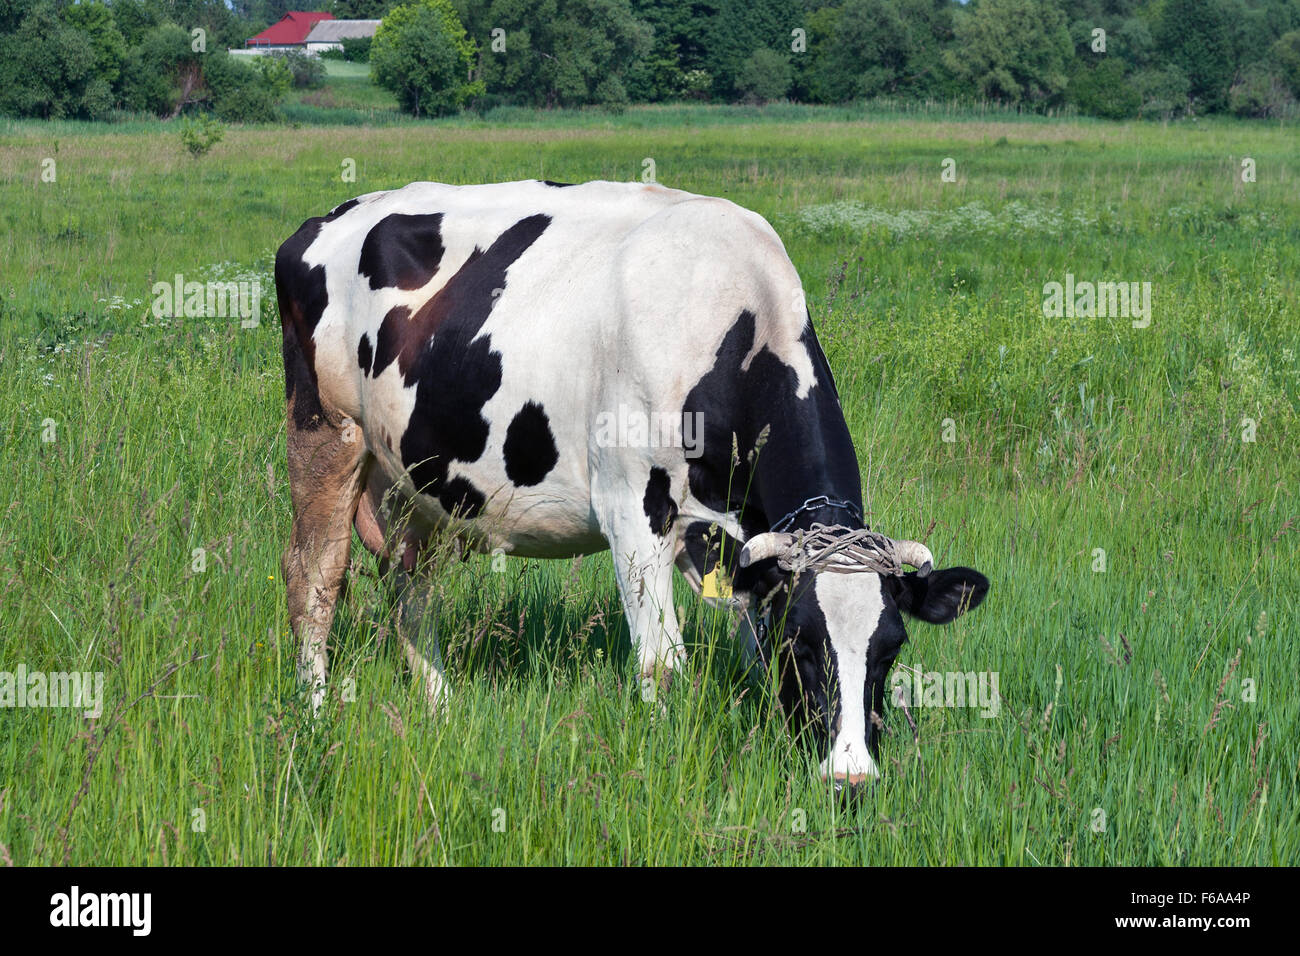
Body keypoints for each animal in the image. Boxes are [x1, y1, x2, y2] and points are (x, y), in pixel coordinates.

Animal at [276, 179, 989, 788]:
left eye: (889, 650)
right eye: (805, 646)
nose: (851, 776)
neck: (733, 319)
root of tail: (326, 219)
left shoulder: (741, 536)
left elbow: (749, 646)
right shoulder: (631, 509)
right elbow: (661, 661)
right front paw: (664, 760)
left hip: (420, 482)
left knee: (412, 585)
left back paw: (440, 707)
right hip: (327, 433)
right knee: (315, 576)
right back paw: (315, 715)